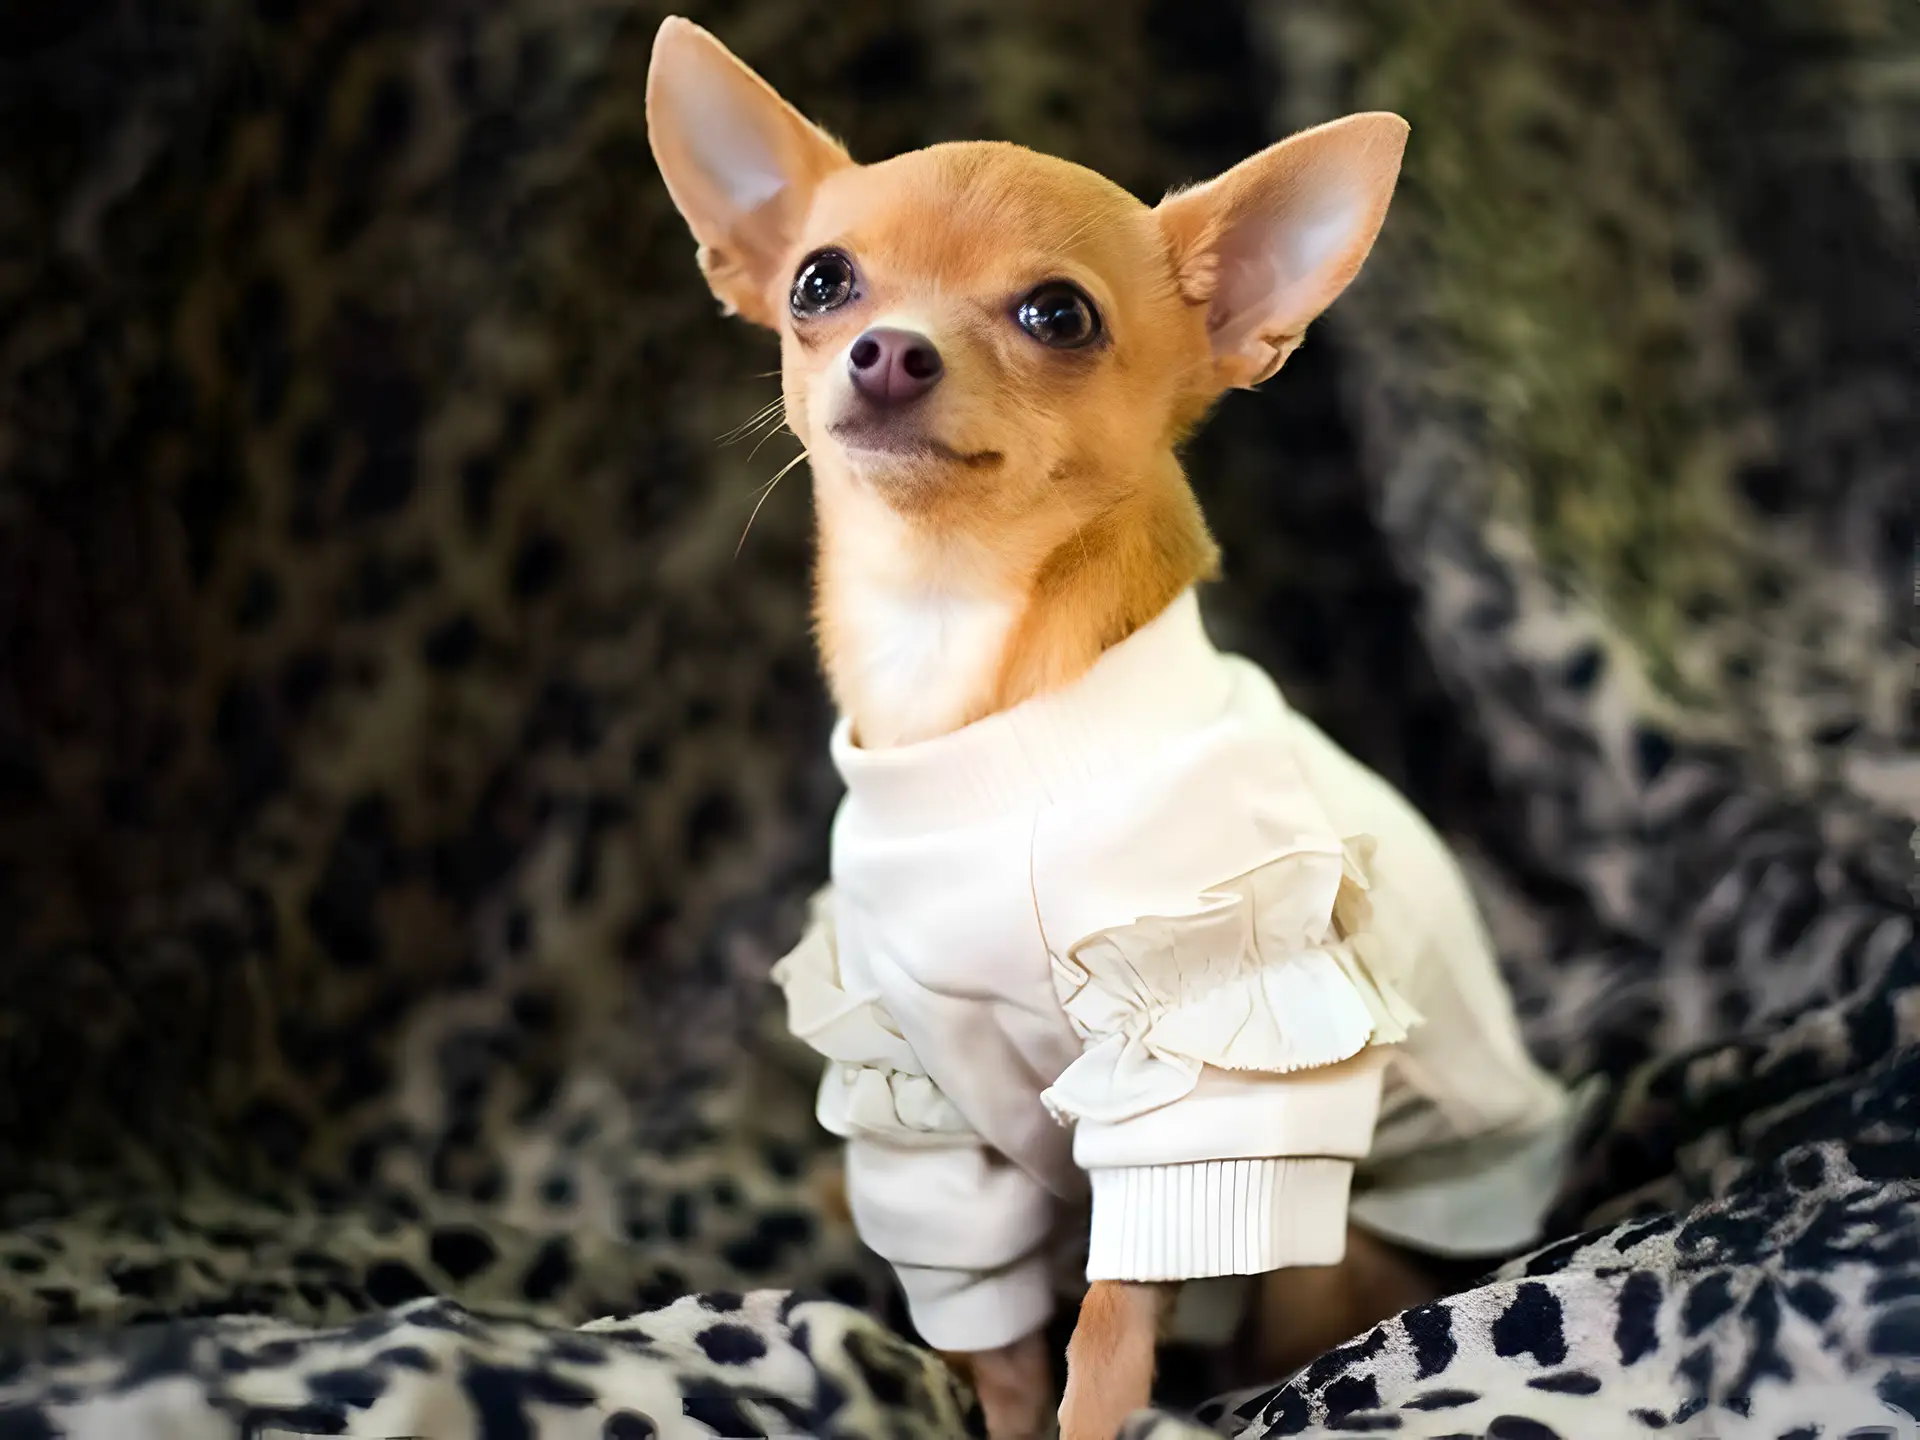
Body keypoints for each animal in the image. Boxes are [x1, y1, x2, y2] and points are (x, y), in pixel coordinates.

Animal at [645, 16, 1574, 1436]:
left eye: (1058, 315)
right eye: (818, 282)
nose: (888, 349)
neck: (967, 674)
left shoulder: (1202, 1060)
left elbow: (1113, 1310)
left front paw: (1093, 1415)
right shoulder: (918, 1087)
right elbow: (999, 1336)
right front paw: (999, 1409)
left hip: (1332, 1237)